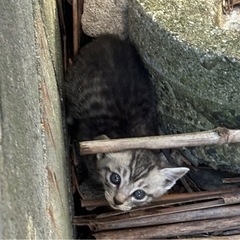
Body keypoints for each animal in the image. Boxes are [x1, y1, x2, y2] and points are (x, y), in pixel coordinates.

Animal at [66, 34, 189, 211]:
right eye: (115, 178)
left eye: (139, 194)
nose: (118, 201)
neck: (132, 134)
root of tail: (108, 38)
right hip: (75, 80)